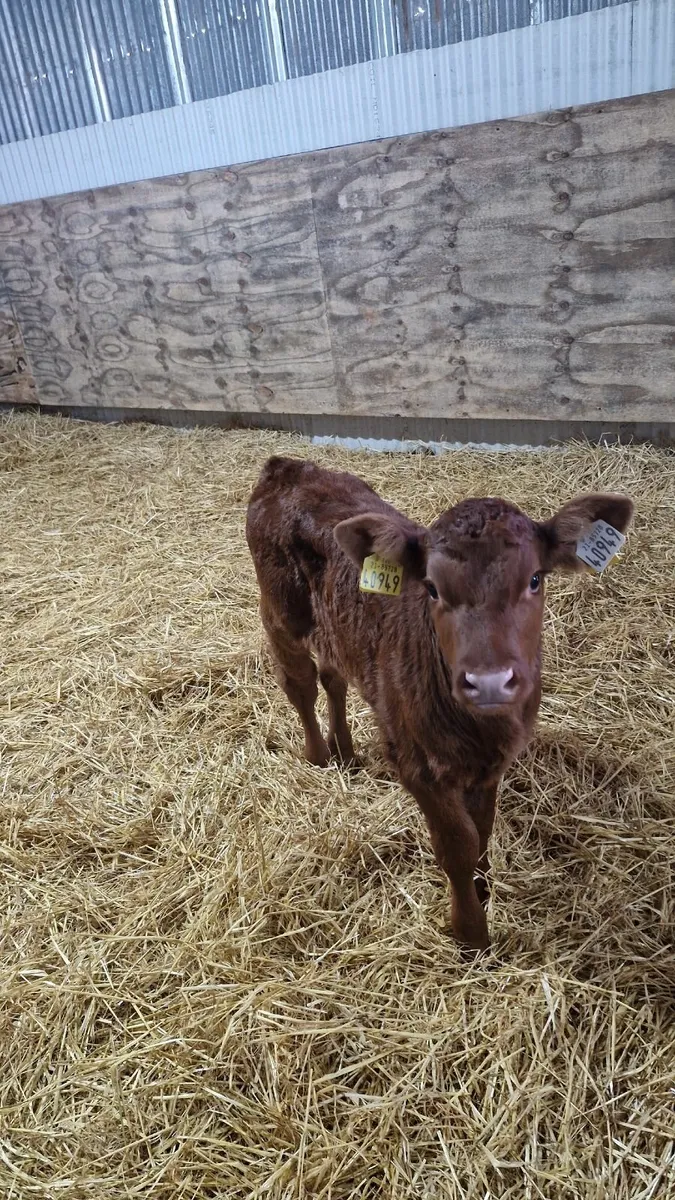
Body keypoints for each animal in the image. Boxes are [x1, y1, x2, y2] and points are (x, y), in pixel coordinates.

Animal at [246, 455, 633, 950]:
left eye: (535, 579)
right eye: (431, 588)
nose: (489, 681)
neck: (481, 730)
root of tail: (288, 467)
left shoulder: (492, 763)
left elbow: (482, 829)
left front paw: (484, 888)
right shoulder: (417, 763)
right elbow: (457, 846)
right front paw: (471, 932)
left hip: (336, 624)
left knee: (334, 676)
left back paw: (345, 752)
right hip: (279, 610)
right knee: (300, 683)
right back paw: (318, 754)